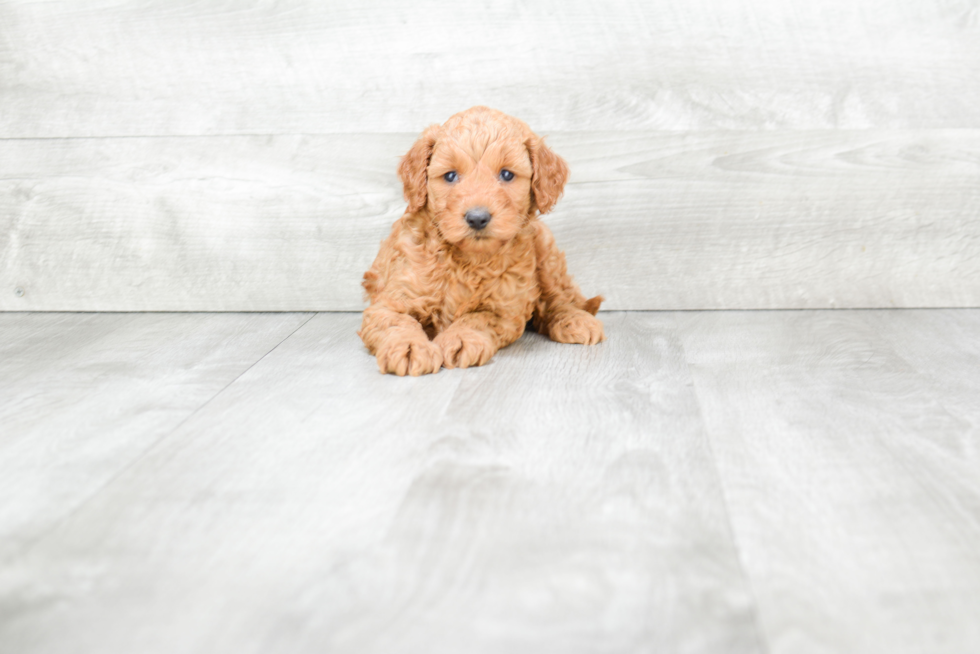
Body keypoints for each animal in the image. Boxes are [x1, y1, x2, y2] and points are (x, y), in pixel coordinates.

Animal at [360, 105, 604, 376]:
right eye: (450, 176)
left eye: (506, 174)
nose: (477, 218)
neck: (466, 260)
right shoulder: (391, 300)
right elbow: (395, 321)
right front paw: (409, 346)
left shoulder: (504, 310)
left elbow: (477, 318)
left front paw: (460, 338)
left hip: (546, 252)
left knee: (560, 298)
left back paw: (575, 320)